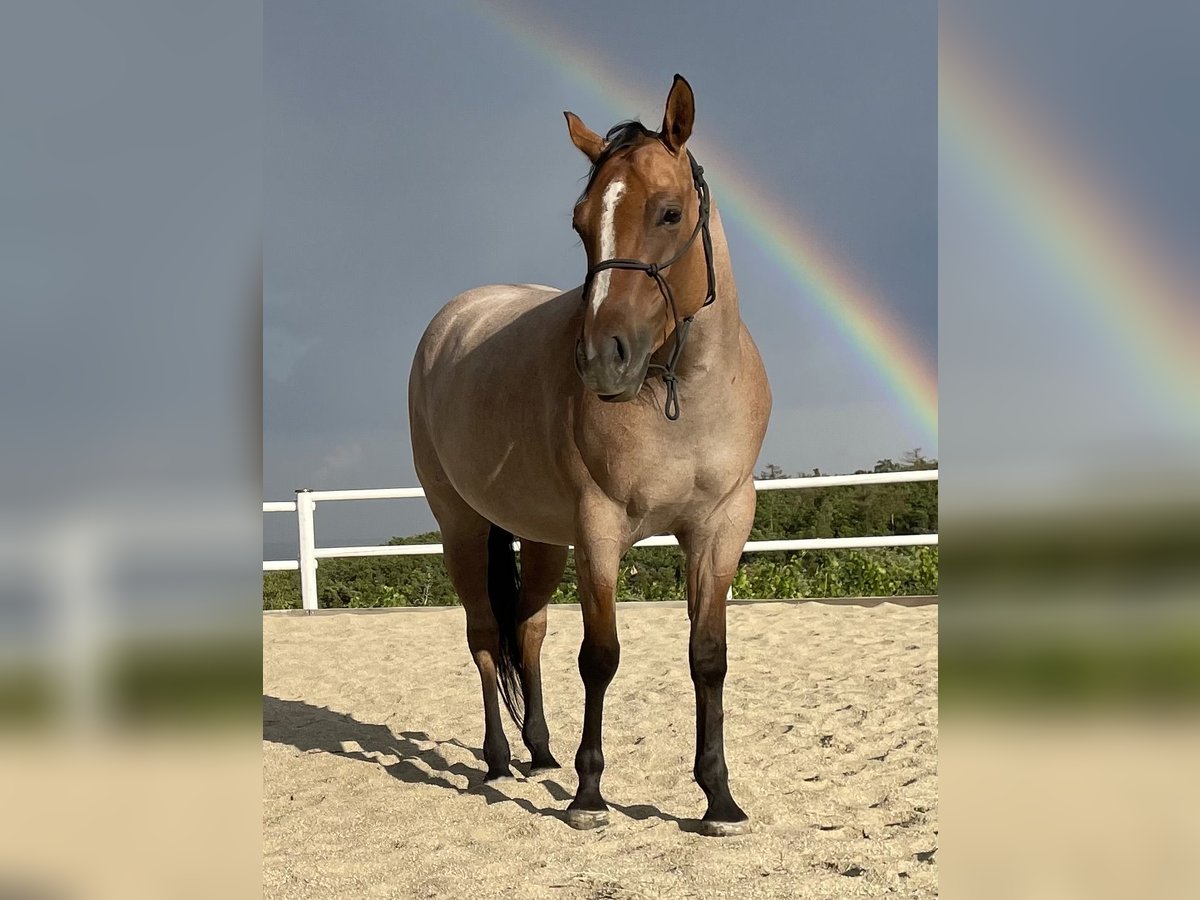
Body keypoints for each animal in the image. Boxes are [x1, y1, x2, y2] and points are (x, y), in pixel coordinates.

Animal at [408, 75, 771, 836]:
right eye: (580, 224)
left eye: (669, 213)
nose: (603, 360)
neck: (681, 396)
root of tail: (451, 319)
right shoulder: (599, 531)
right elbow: (600, 657)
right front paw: (589, 795)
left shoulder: (721, 527)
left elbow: (708, 658)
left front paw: (718, 800)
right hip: (461, 525)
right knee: (484, 635)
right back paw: (498, 760)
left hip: (543, 538)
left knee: (528, 630)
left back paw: (540, 751)